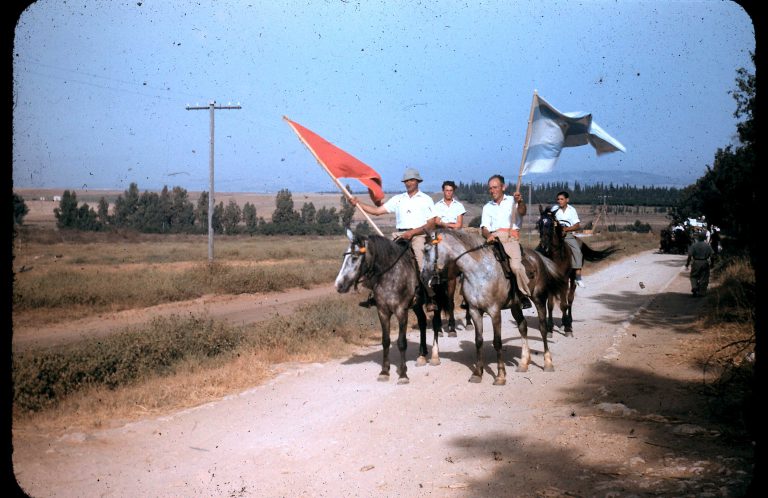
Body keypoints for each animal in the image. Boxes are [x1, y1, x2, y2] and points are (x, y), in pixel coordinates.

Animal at [334, 228, 438, 384]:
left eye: (355, 257)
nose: (339, 285)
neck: (391, 275)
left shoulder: (401, 311)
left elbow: (402, 342)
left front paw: (403, 374)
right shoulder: (382, 311)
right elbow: (385, 341)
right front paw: (384, 372)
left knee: (436, 323)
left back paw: (435, 357)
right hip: (416, 306)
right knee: (422, 322)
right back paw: (422, 354)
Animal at [536, 204, 620, 336]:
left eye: (550, 224)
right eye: (539, 223)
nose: (544, 246)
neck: (555, 255)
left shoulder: (564, 280)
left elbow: (563, 304)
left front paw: (567, 328)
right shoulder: (551, 281)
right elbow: (550, 305)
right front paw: (549, 328)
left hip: (572, 279)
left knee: (570, 300)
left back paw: (568, 322)